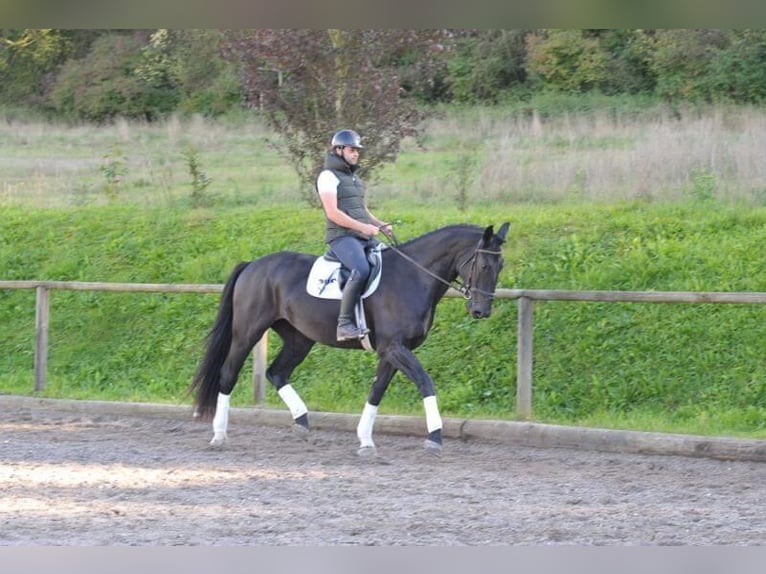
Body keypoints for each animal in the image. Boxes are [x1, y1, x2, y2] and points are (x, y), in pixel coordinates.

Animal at [190, 223, 510, 456]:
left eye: (501, 266)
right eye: (484, 266)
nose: (482, 311)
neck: (412, 277)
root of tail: (253, 264)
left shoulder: (392, 351)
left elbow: (376, 391)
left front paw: (365, 440)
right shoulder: (394, 347)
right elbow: (425, 382)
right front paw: (435, 436)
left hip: (299, 339)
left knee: (276, 372)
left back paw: (302, 421)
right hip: (248, 332)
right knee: (228, 374)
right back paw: (219, 435)